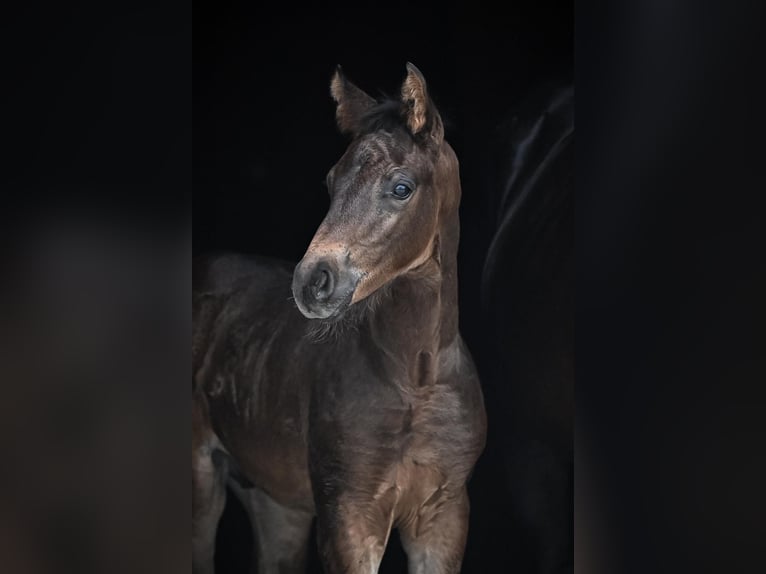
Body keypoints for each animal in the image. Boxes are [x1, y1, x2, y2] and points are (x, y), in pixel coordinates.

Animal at [192, 63, 487, 574]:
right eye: (331, 182)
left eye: (401, 188)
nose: (312, 281)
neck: (416, 378)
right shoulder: (349, 517)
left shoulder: (444, 517)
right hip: (200, 477)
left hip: (277, 506)